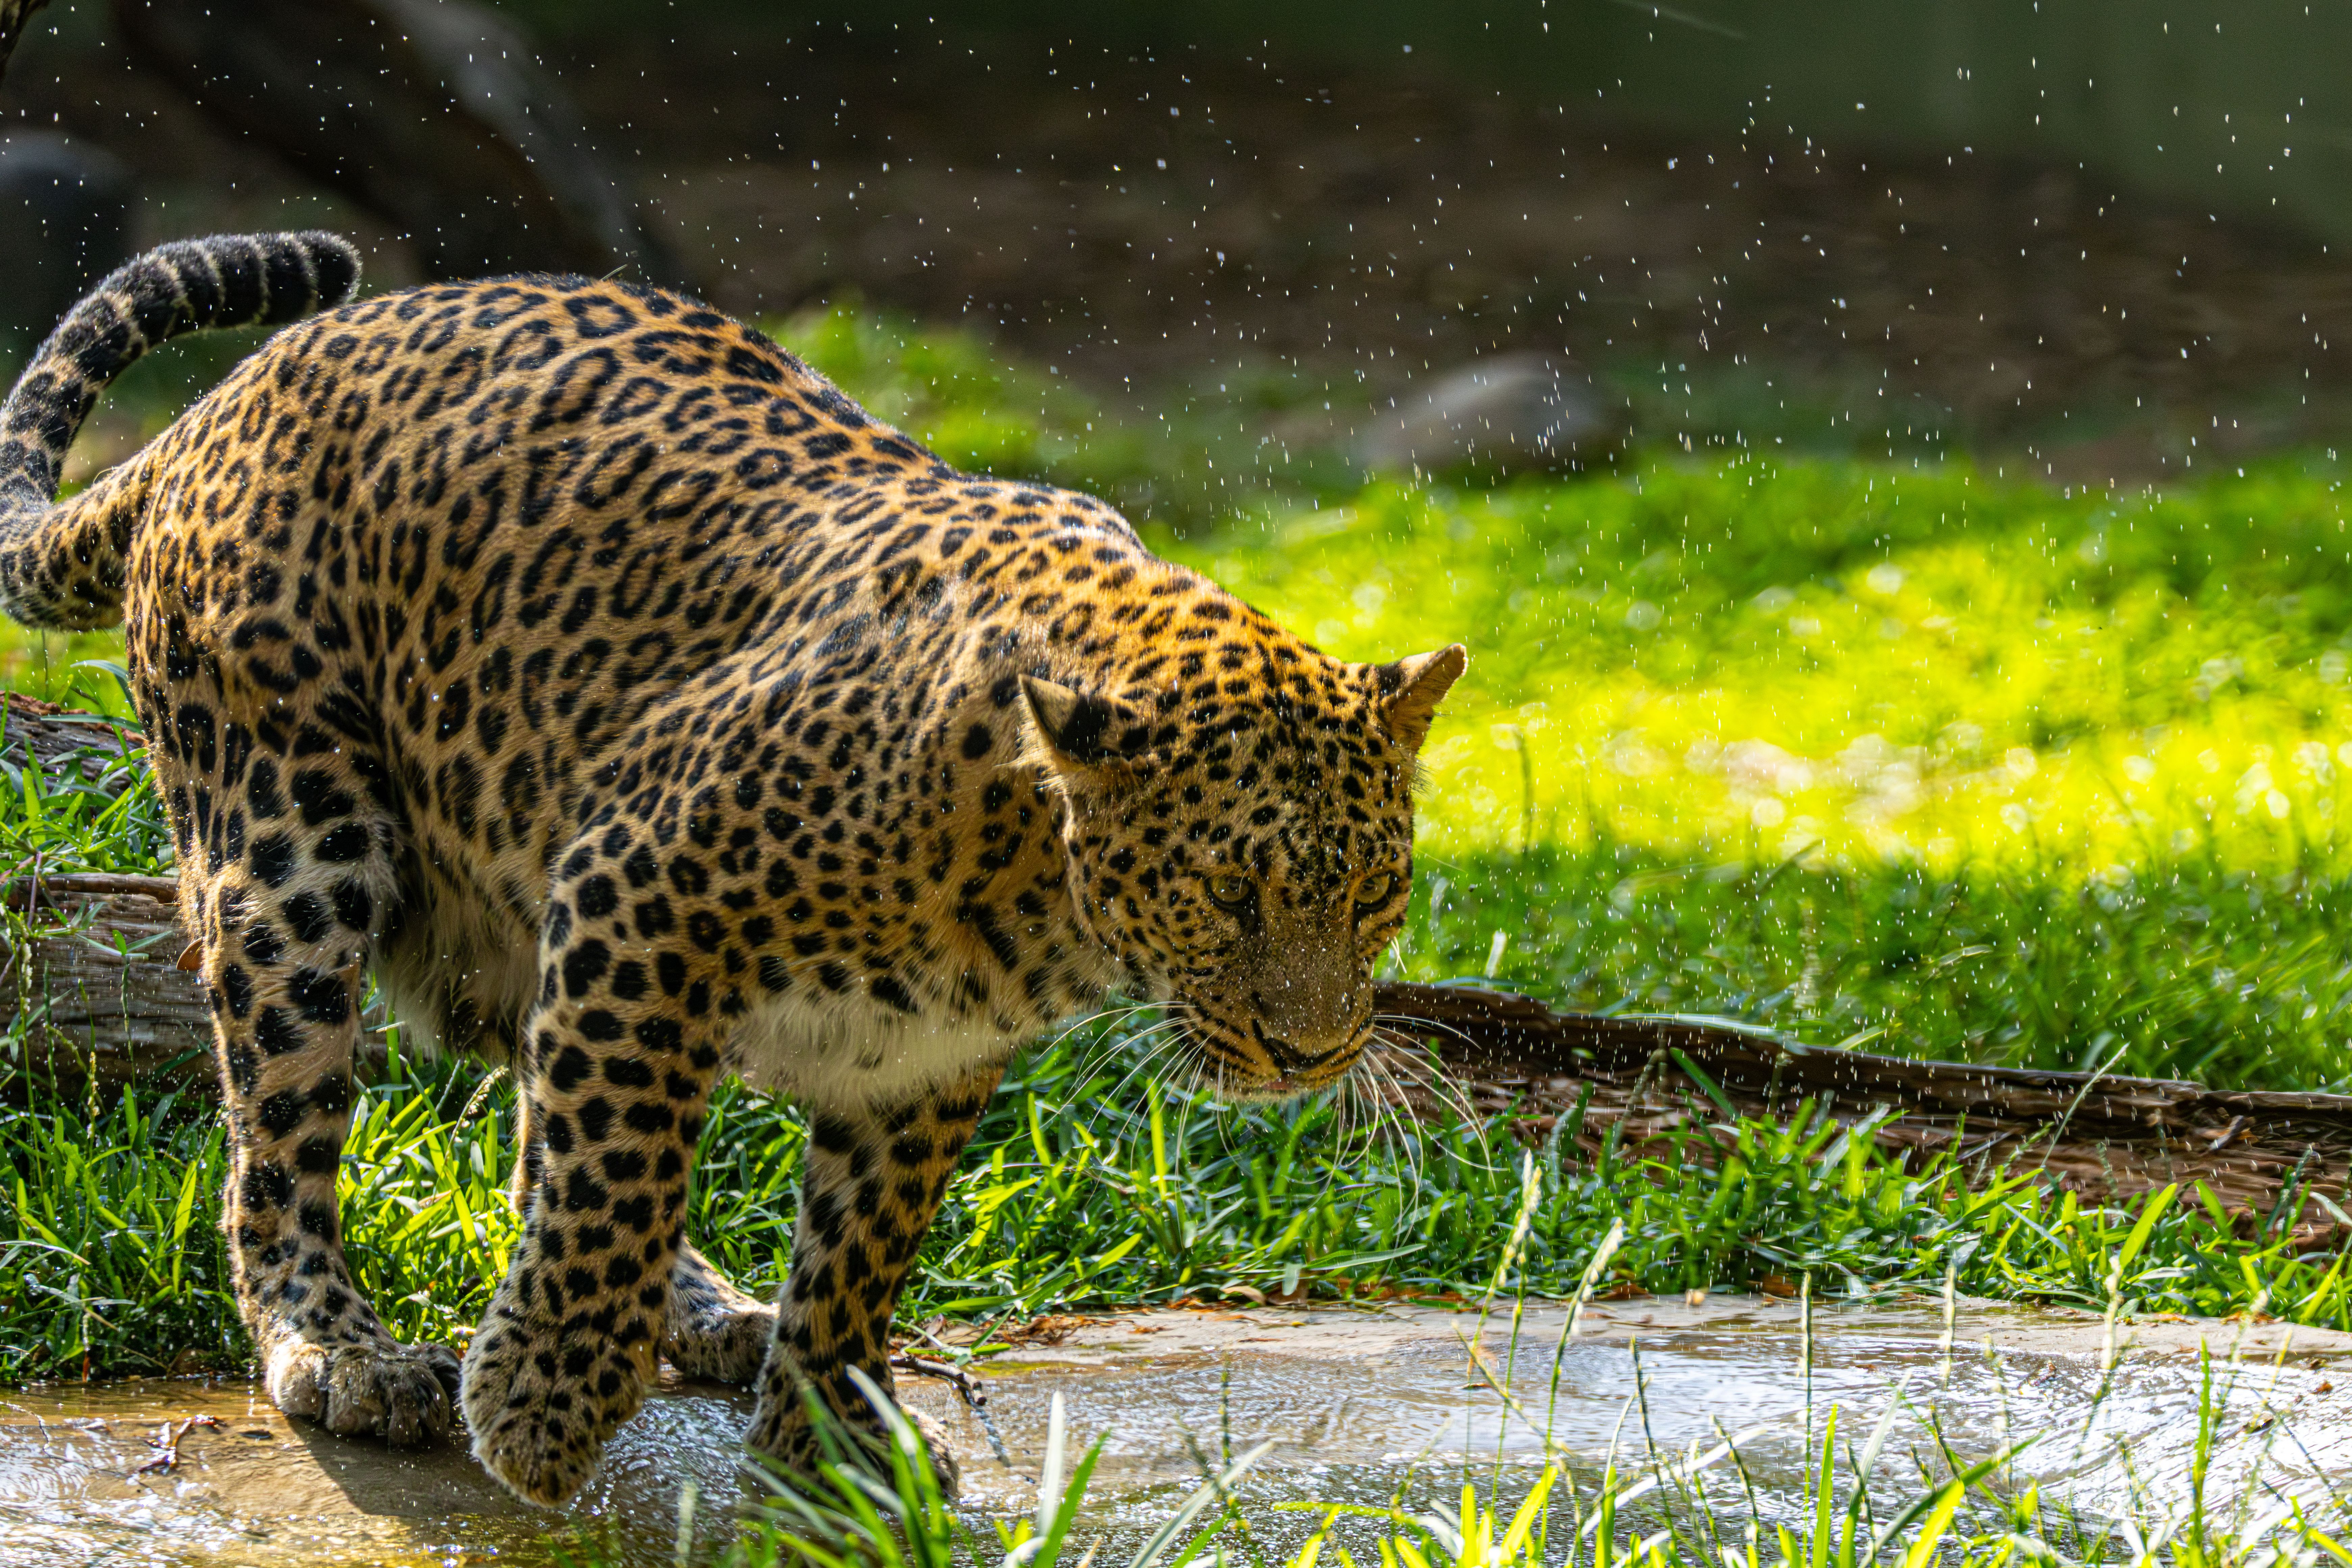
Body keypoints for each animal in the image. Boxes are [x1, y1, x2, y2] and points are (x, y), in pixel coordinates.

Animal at [0, 231, 1465, 1507]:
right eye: (1226, 896)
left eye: (1371, 895)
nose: (1313, 1053)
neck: (1036, 890)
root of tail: (230, 396)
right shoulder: (639, 885)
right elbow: (615, 1175)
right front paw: (544, 1410)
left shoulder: (923, 1052)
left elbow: (861, 1244)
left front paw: (830, 1430)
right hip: (291, 838)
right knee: (285, 1133)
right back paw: (342, 1350)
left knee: (535, 1116)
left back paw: (708, 1311)